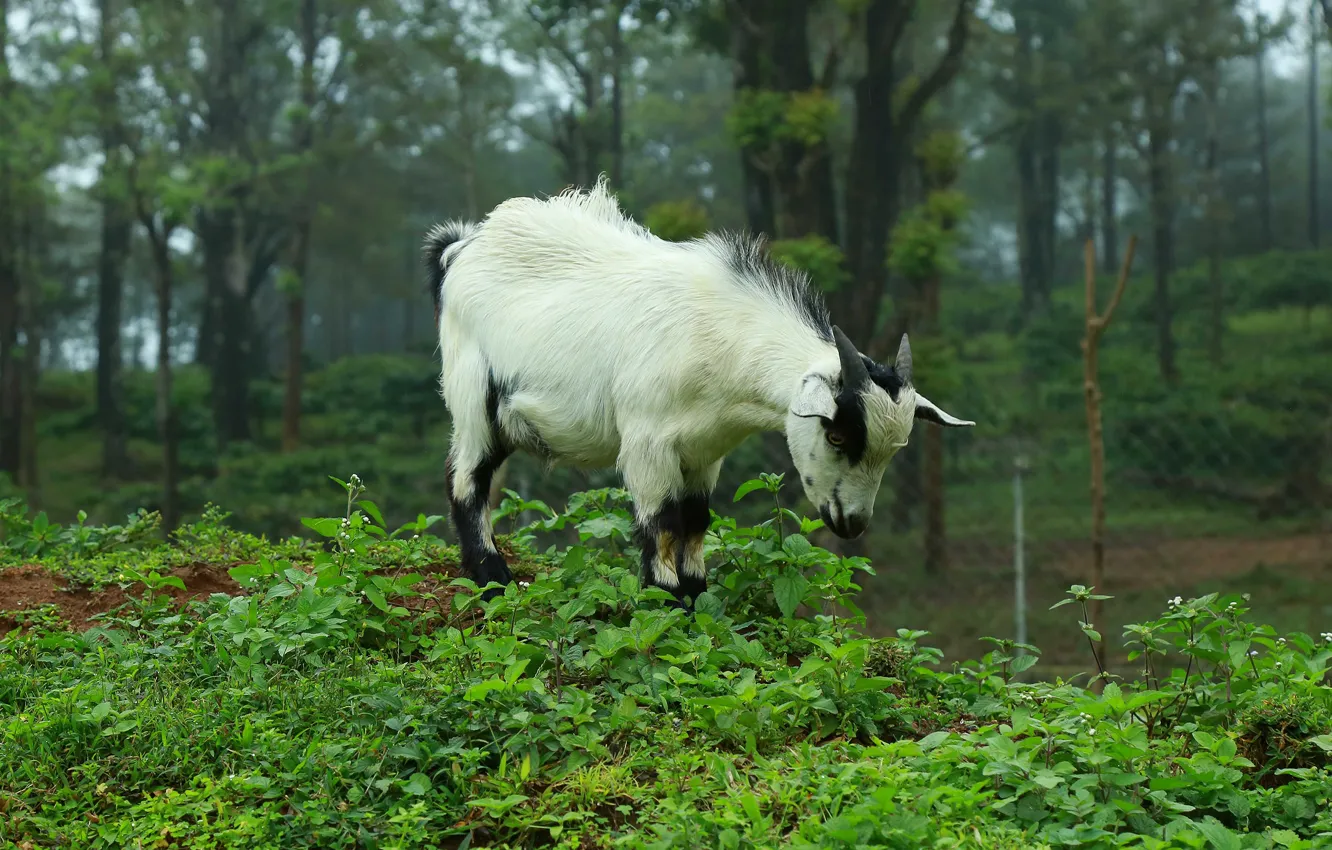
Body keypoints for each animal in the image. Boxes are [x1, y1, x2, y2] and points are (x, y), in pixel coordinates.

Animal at [426, 175, 980, 610]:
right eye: (838, 436)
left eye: (895, 450)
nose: (852, 524)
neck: (720, 337)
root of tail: (461, 248)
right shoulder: (647, 446)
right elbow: (662, 522)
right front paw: (666, 599)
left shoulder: (704, 451)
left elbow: (695, 520)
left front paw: (697, 595)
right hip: (473, 397)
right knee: (466, 480)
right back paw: (492, 578)